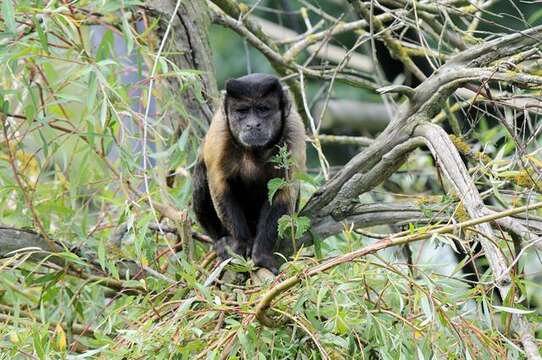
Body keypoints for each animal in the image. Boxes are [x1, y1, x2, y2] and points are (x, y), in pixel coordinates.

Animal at [193, 74, 308, 274]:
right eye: (242, 111)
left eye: (263, 109)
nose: (253, 124)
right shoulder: (219, 132)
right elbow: (220, 186)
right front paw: (241, 244)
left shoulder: (294, 132)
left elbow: (283, 192)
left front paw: (262, 256)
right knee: (201, 174)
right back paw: (223, 241)